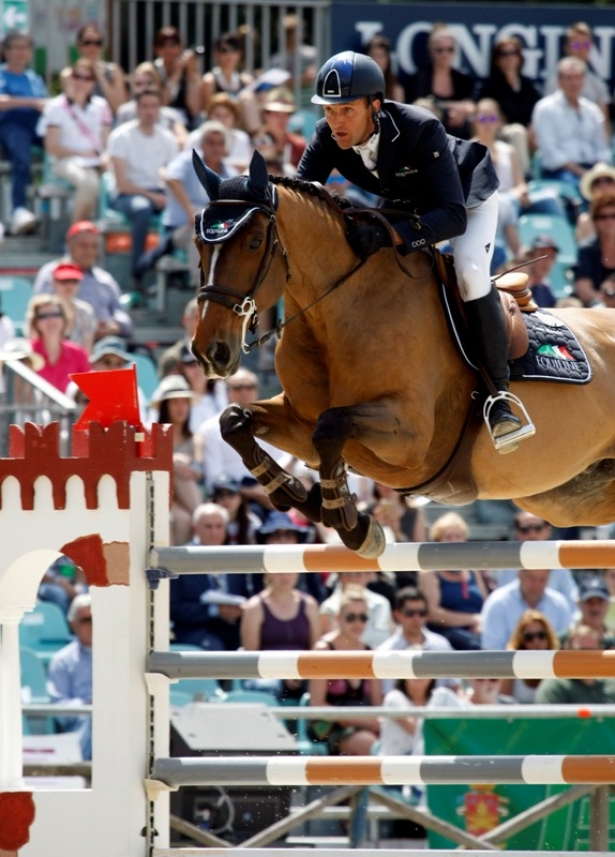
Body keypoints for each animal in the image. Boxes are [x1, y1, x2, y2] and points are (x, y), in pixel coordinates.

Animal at [192, 150, 615, 560]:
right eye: (199, 245)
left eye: (253, 242)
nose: (211, 351)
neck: (335, 314)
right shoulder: (299, 423)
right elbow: (235, 420)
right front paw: (298, 493)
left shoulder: (411, 435)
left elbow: (331, 425)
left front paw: (348, 521)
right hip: (564, 499)